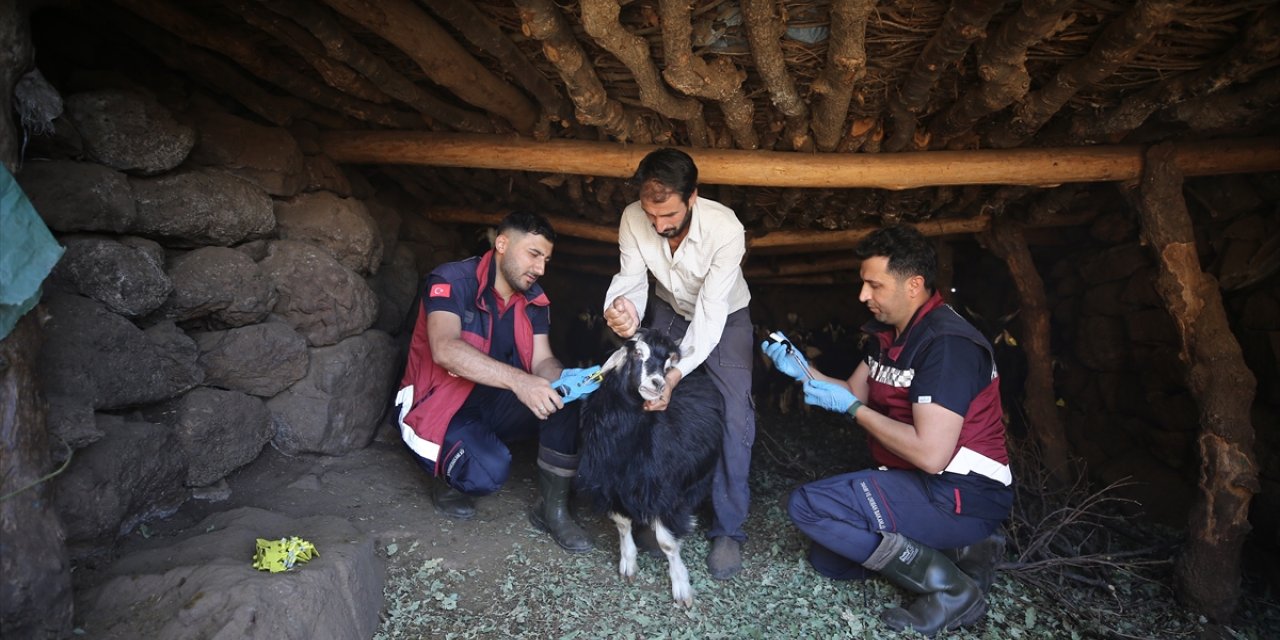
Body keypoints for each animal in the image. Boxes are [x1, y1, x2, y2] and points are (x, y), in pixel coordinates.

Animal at [576, 330, 727, 604]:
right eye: (637, 353)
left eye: (668, 366)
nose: (658, 383)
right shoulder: (611, 485)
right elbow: (622, 524)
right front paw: (628, 564)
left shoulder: (662, 489)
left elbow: (667, 542)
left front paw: (681, 588)